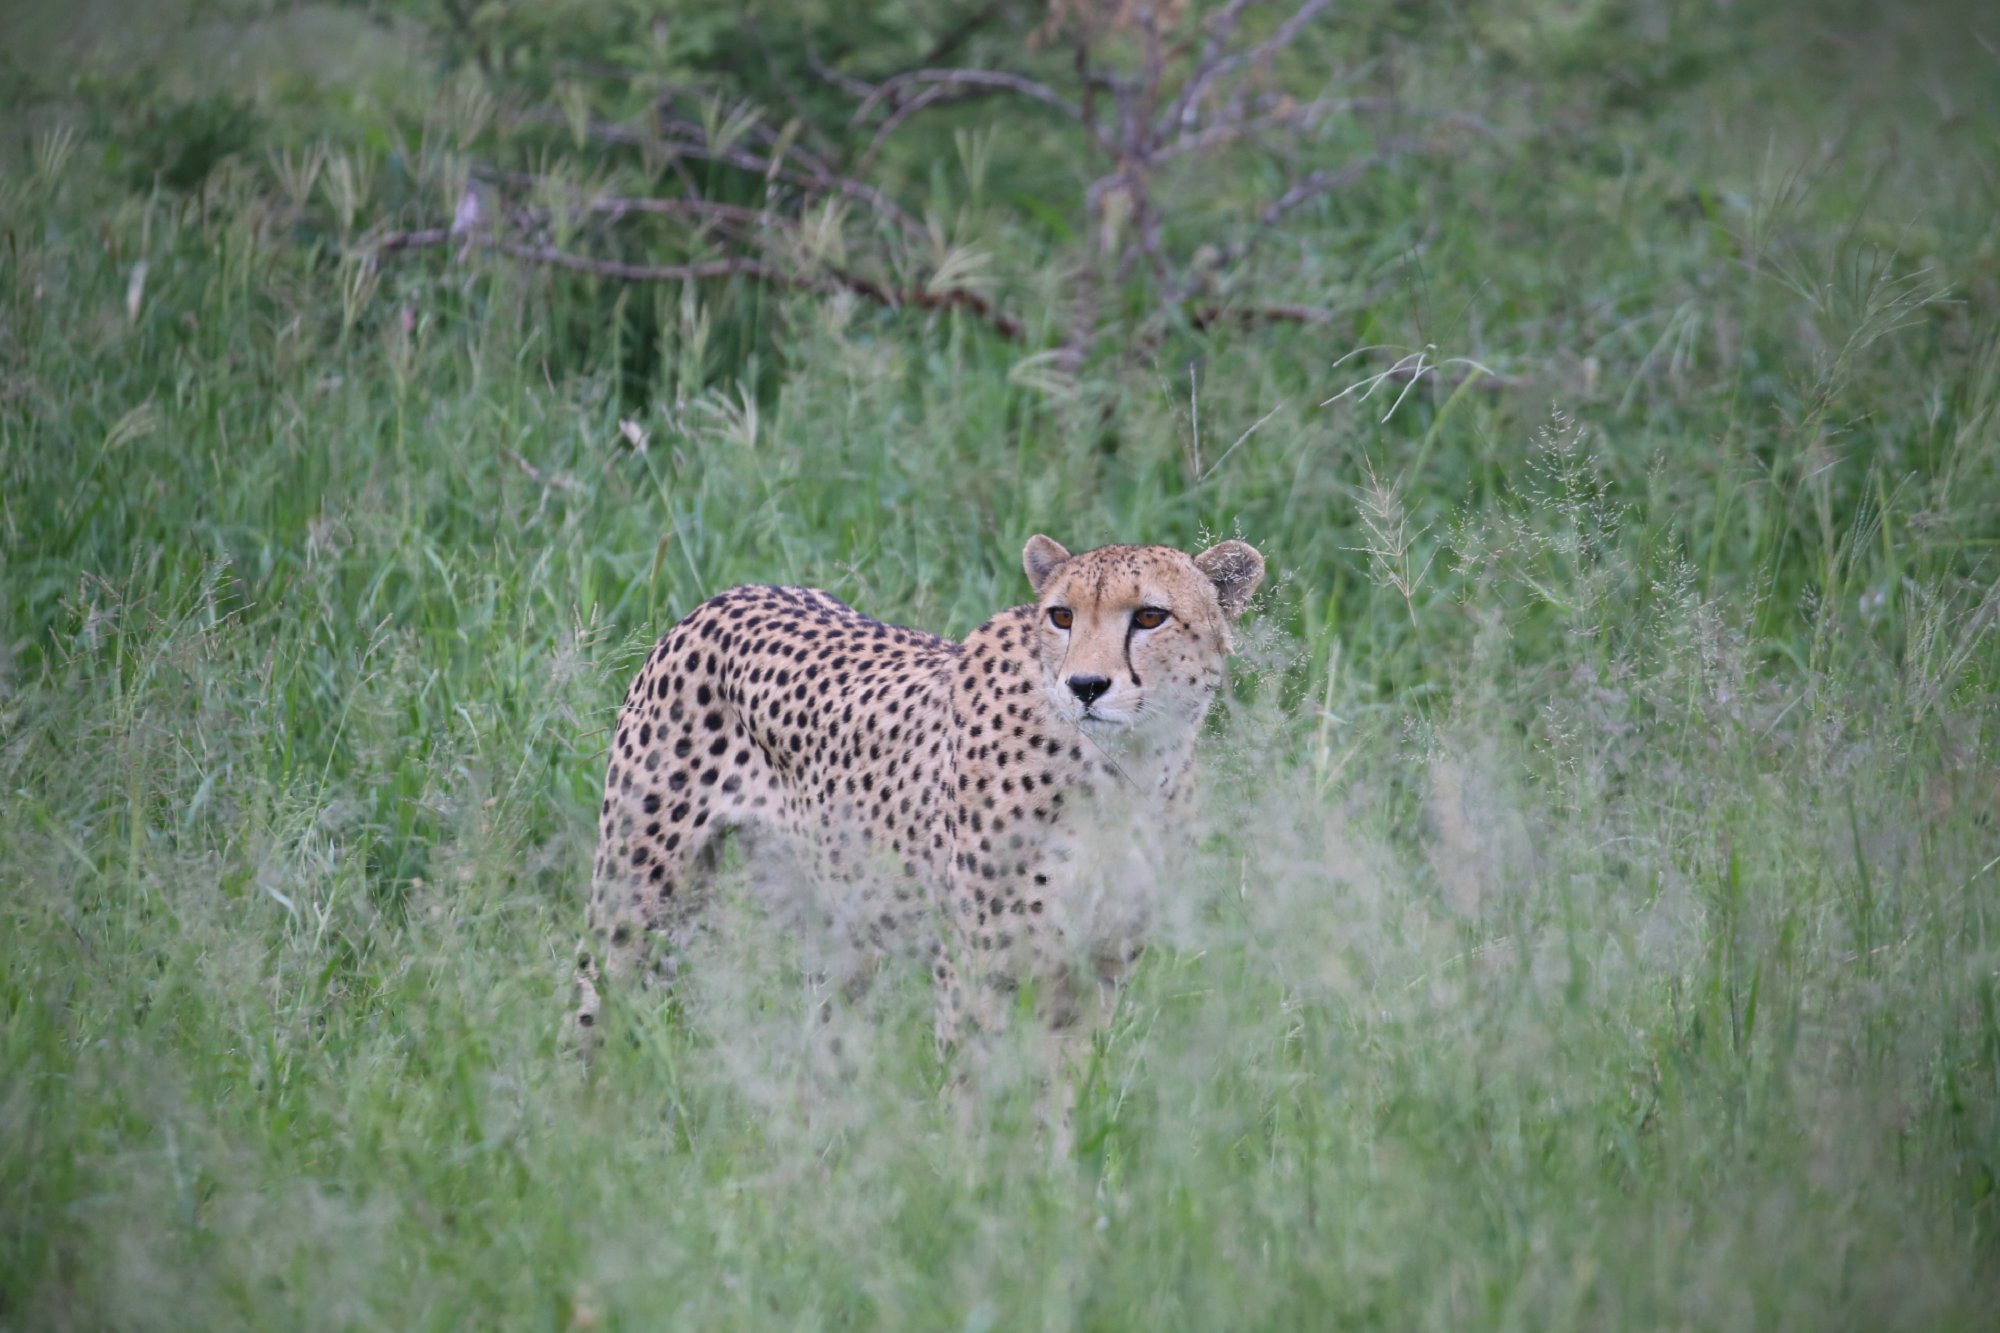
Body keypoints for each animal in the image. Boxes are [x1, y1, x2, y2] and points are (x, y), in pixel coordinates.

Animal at [580, 536, 1264, 1040]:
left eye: (1150, 616)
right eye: (1062, 615)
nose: (1085, 686)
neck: (1122, 772)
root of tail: (732, 594)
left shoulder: (1094, 971)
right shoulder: (974, 970)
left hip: (834, 925)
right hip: (634, 895)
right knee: (596, 993)